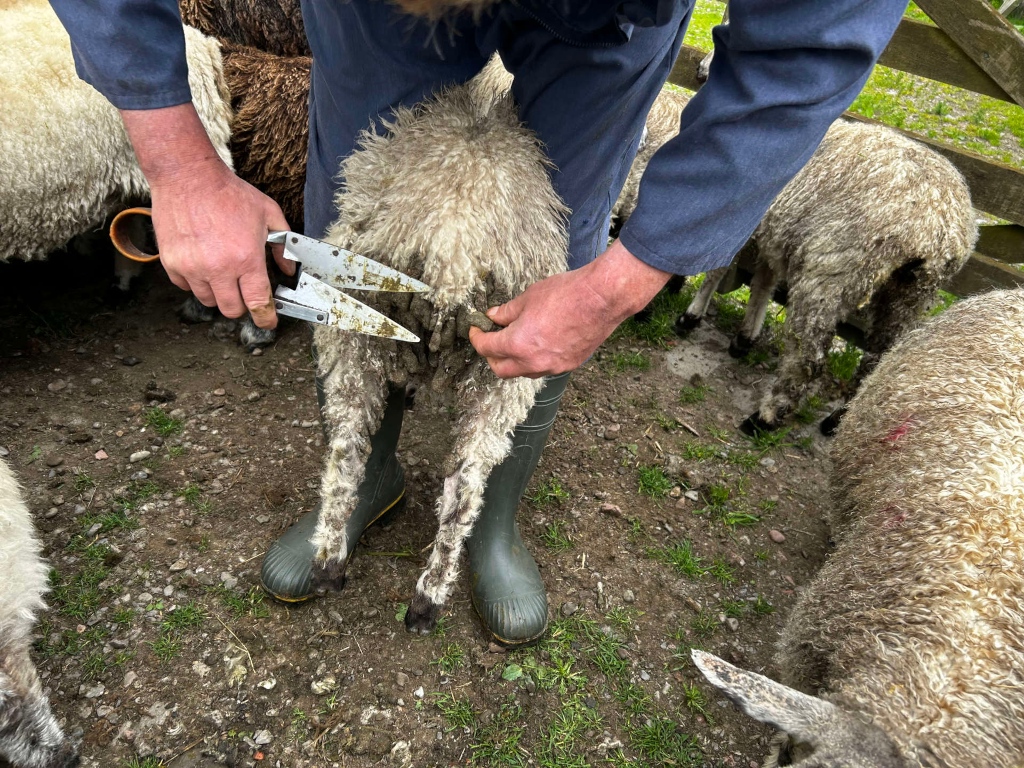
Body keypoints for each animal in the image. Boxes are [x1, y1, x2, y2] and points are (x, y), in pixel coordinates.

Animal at [310, 80, 568, 634]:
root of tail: (454, 246)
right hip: (499, 370)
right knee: (461, 487)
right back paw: (420, 593)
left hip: (356, 325)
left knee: (349, 456)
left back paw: (343, 568)